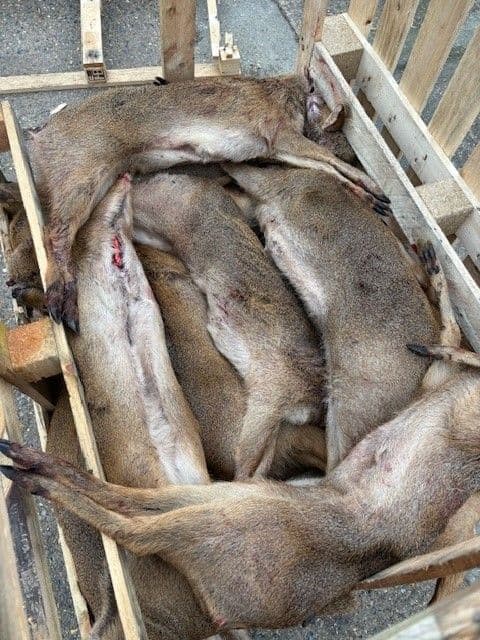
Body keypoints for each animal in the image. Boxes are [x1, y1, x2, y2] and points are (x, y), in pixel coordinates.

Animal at [2, 242, 479, 635]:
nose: (18, 287)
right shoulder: (442, 387)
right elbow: (453, 340)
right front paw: (434, 274)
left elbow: (455, 344)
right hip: (228, 503)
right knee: (134, 509)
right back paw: (30, 467)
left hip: (226, 518)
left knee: (135, 526)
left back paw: (29, 470)